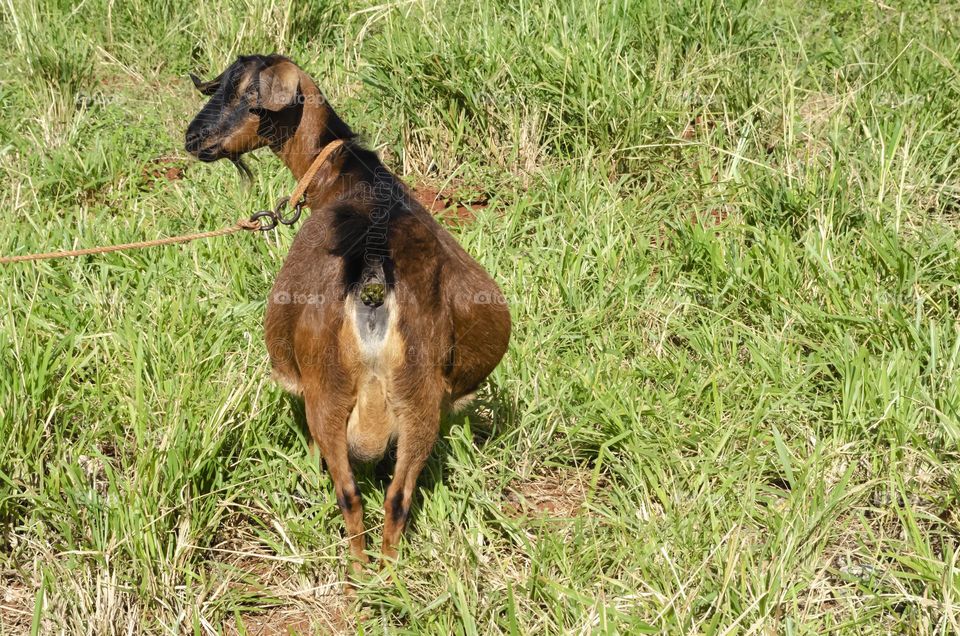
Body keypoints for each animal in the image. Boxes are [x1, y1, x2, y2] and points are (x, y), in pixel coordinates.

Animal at [182, 54, 510, 572]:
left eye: (250, 97)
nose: (193, 138)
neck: (346, 174)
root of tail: (373, 272)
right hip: (419, 397)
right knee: (398, 497)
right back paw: (388, 576)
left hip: (327, 391)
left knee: (350, 494)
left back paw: (356, 574)